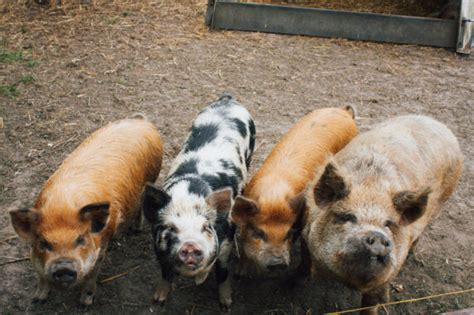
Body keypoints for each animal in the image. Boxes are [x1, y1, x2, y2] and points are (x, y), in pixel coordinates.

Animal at [9, 117, 163, 310]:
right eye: (43, 243)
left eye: (81, 239)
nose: (63, 267)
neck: (63, 205)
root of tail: (141, 121)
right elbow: (40, 274)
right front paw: (37, 300)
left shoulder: (101, 247)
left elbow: (91, 276)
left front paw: (84, 305)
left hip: (152, 177)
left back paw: (135, 230)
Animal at [143, 95, 258, 310]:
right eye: (171, 228)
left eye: (205, 227)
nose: (190, 245)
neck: (188, 196)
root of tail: (227, 99)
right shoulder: (158, 247)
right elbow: (165, 272)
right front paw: (158, 300)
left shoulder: (226, 243)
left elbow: (223, 274)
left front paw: (226, 304)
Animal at [231, 107, 358, 276]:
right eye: (259, 233)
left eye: (288, 234)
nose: (278, 263)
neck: (274, 194)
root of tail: (344, 111)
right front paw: (240, 273)